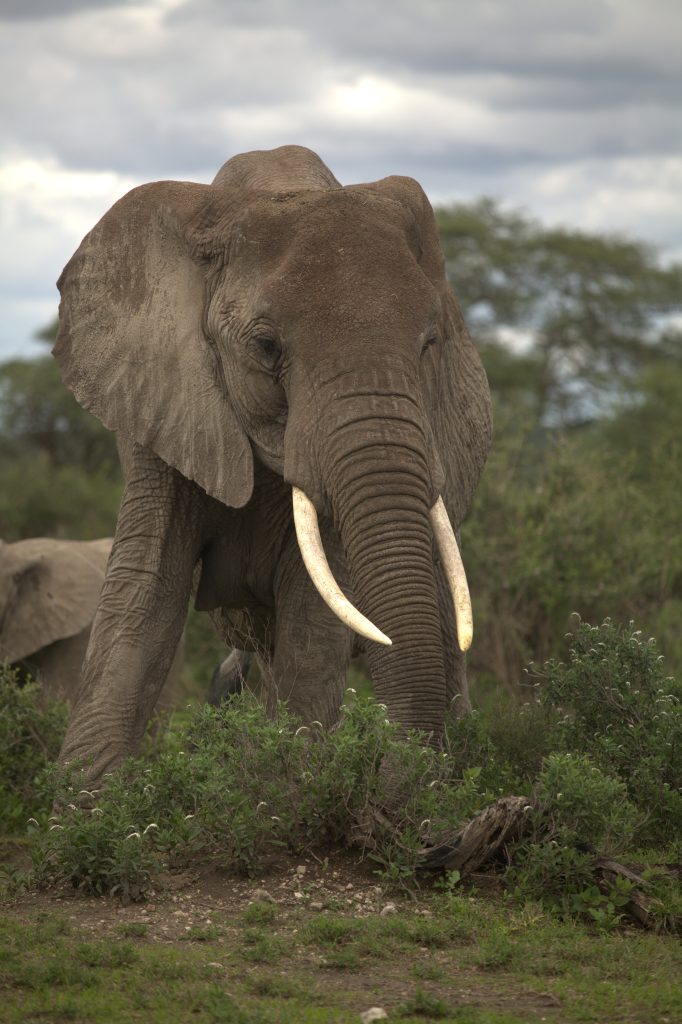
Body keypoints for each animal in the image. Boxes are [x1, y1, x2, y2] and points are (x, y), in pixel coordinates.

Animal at [53, 144, 492, 784]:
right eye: (266, 347)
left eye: (430, 345)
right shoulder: (161, 407)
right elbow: (143, 596)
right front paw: (86, 809)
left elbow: (312, 621)